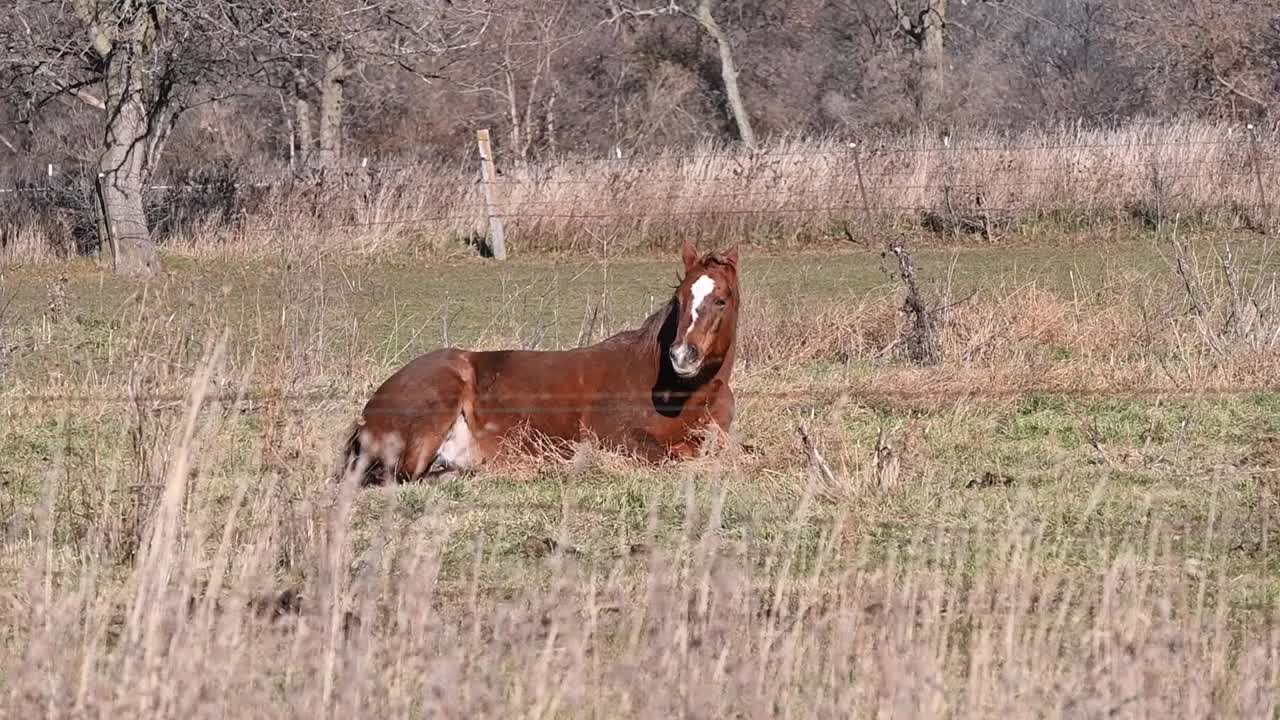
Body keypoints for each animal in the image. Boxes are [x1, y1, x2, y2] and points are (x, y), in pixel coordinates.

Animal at [340, 239, 742, 481]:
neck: (683, 394)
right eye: (679, 298)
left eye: (721, 300)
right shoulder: (618, 437)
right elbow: (679, 456)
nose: (682, 355)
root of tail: (366, 416)